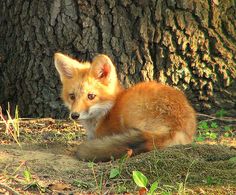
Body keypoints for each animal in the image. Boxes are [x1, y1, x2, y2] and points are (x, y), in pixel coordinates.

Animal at [54, 52, 196, 162]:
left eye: (91, 96)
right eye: (72, 96)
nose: (74, 115)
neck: (107, 111)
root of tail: (175, 125)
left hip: (130, 113)